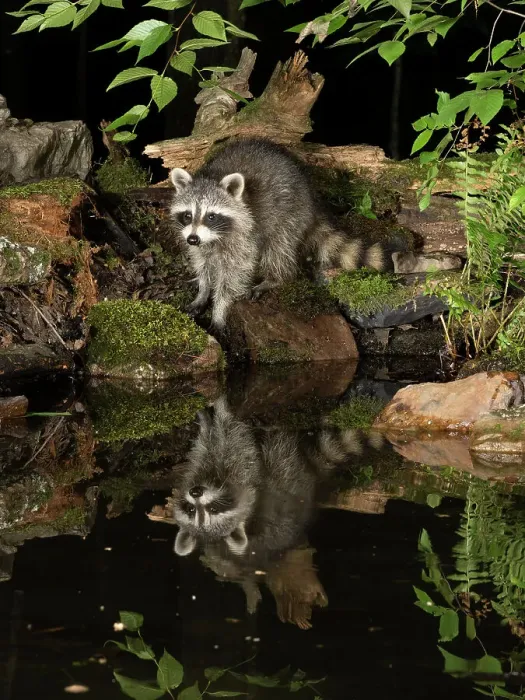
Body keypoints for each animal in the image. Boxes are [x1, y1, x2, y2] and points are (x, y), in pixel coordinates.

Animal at [169, 138, 405, 330]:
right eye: (188, 215)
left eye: (211, 216)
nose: (192, 239)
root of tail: (312, 201)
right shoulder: (202, 243)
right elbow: (203, 264)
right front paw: (203, 291)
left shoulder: (243, 235)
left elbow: (233, 275)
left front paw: (220, 310)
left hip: (289, 215)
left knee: (278, 249)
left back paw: (275, 278)